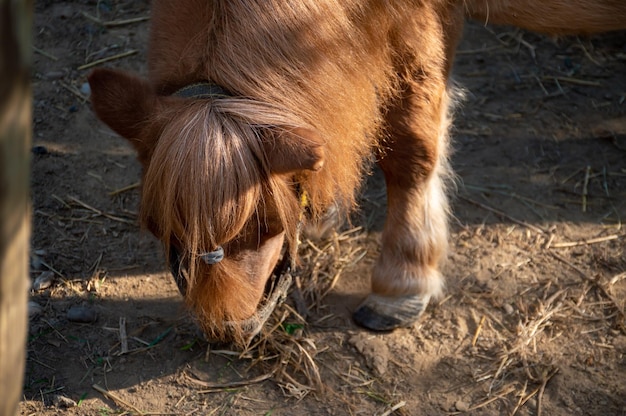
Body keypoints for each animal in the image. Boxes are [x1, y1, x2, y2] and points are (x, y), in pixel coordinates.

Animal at [89, 0, 624, 342]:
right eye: (161, 226)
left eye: (265, 225)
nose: (228, 330)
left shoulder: (420, 30)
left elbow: (411, 152)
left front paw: (402, 282)